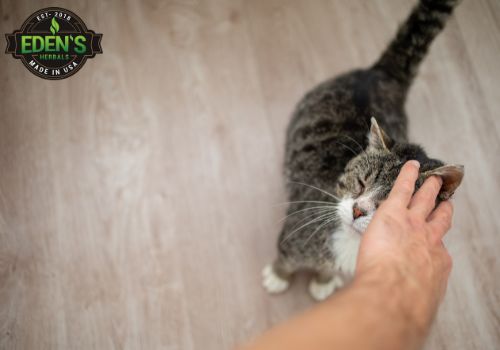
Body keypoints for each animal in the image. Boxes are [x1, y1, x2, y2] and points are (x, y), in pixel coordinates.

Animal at [262, 0, 464, 300]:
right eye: (360, 183)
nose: (358, 210)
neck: (352, 242)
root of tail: (380, 73)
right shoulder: (295, 232)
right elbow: (286, 258)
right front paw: (278, 276)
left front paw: (323, 281)